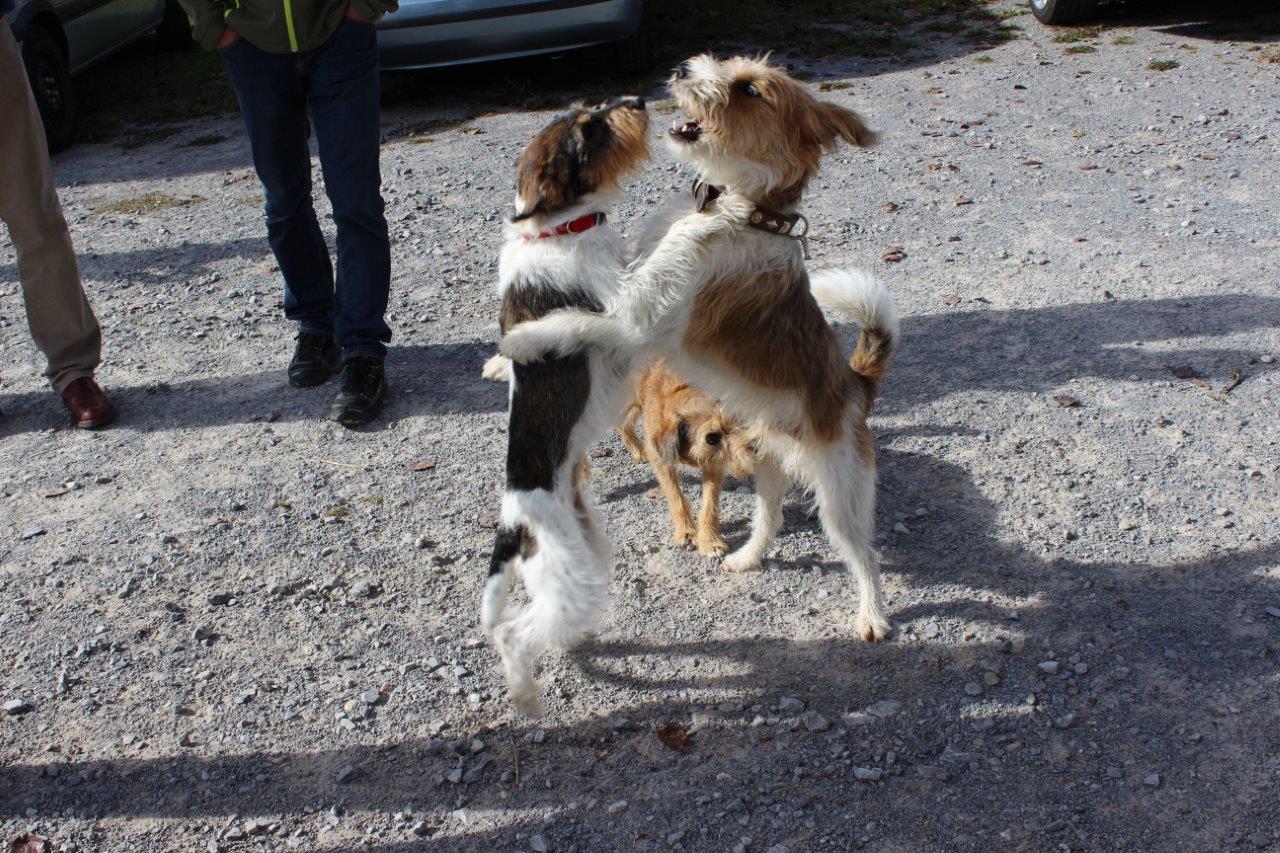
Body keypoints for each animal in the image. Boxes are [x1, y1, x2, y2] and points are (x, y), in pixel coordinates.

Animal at [483, 96, 655, 712]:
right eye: (590, 128)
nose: (639, 101)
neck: (556, 228)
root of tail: (512, 524)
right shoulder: (624, 301)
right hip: (567, 582)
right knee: (512, 634)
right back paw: (526, 696)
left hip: (587, 554)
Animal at [622, 356, 757, 555]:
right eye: (711, 438)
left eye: (735, 418)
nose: (756, 446)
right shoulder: (662, 461)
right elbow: (676, 498)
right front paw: (686, 533)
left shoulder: (713, 464)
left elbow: (709, 505)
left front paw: (709, 541)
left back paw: (637, 449)